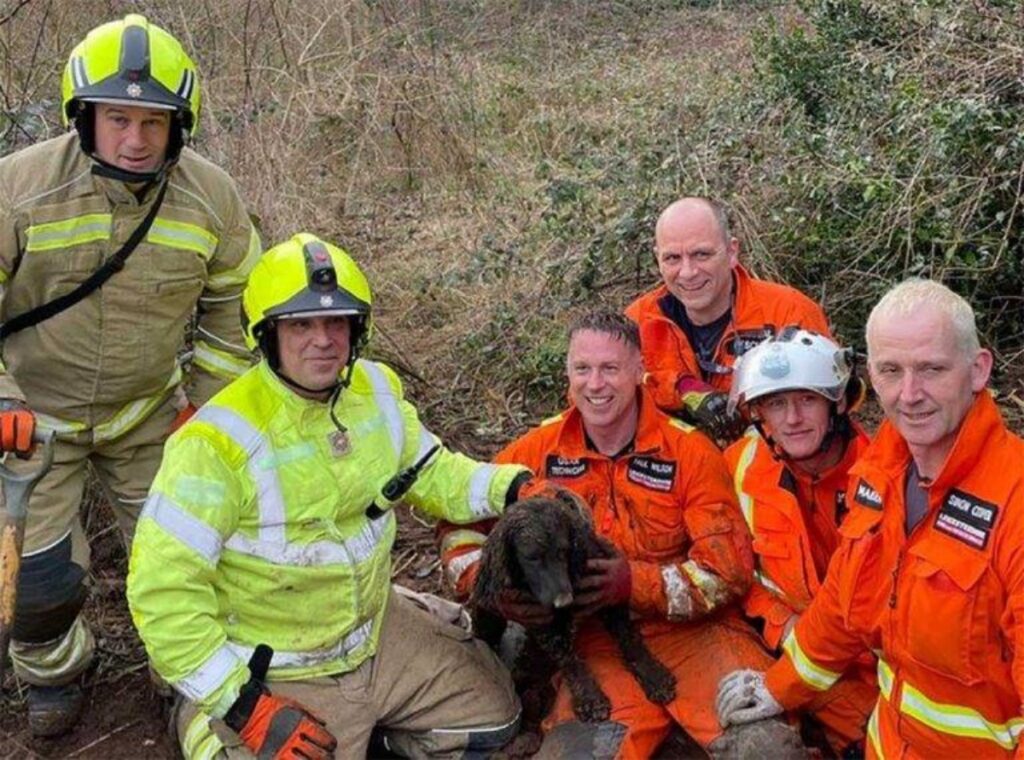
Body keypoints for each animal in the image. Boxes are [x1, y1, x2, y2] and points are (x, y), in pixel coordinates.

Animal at [468, 499, 675, 749]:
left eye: (564, 551)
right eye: (532, 557)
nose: (564, 601)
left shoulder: (608, 592)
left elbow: (630, 638)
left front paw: (653, 674)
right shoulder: (547, 625)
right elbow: (571, 662)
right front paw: (590, 697)